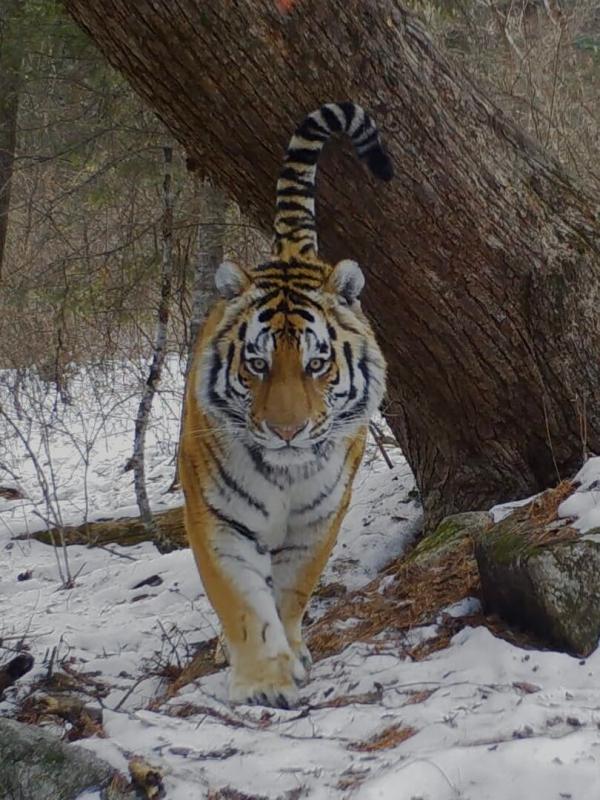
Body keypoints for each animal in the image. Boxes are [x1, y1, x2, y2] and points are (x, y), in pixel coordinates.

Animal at [179, 101, 392, 708]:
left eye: (317, 365)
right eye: (256, 364)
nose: (287, 431)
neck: (285, 473)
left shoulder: (318, 519)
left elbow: (293, 592)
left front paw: (291, 654)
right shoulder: (218, 517)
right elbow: (242, 601)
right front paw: (263, 680)